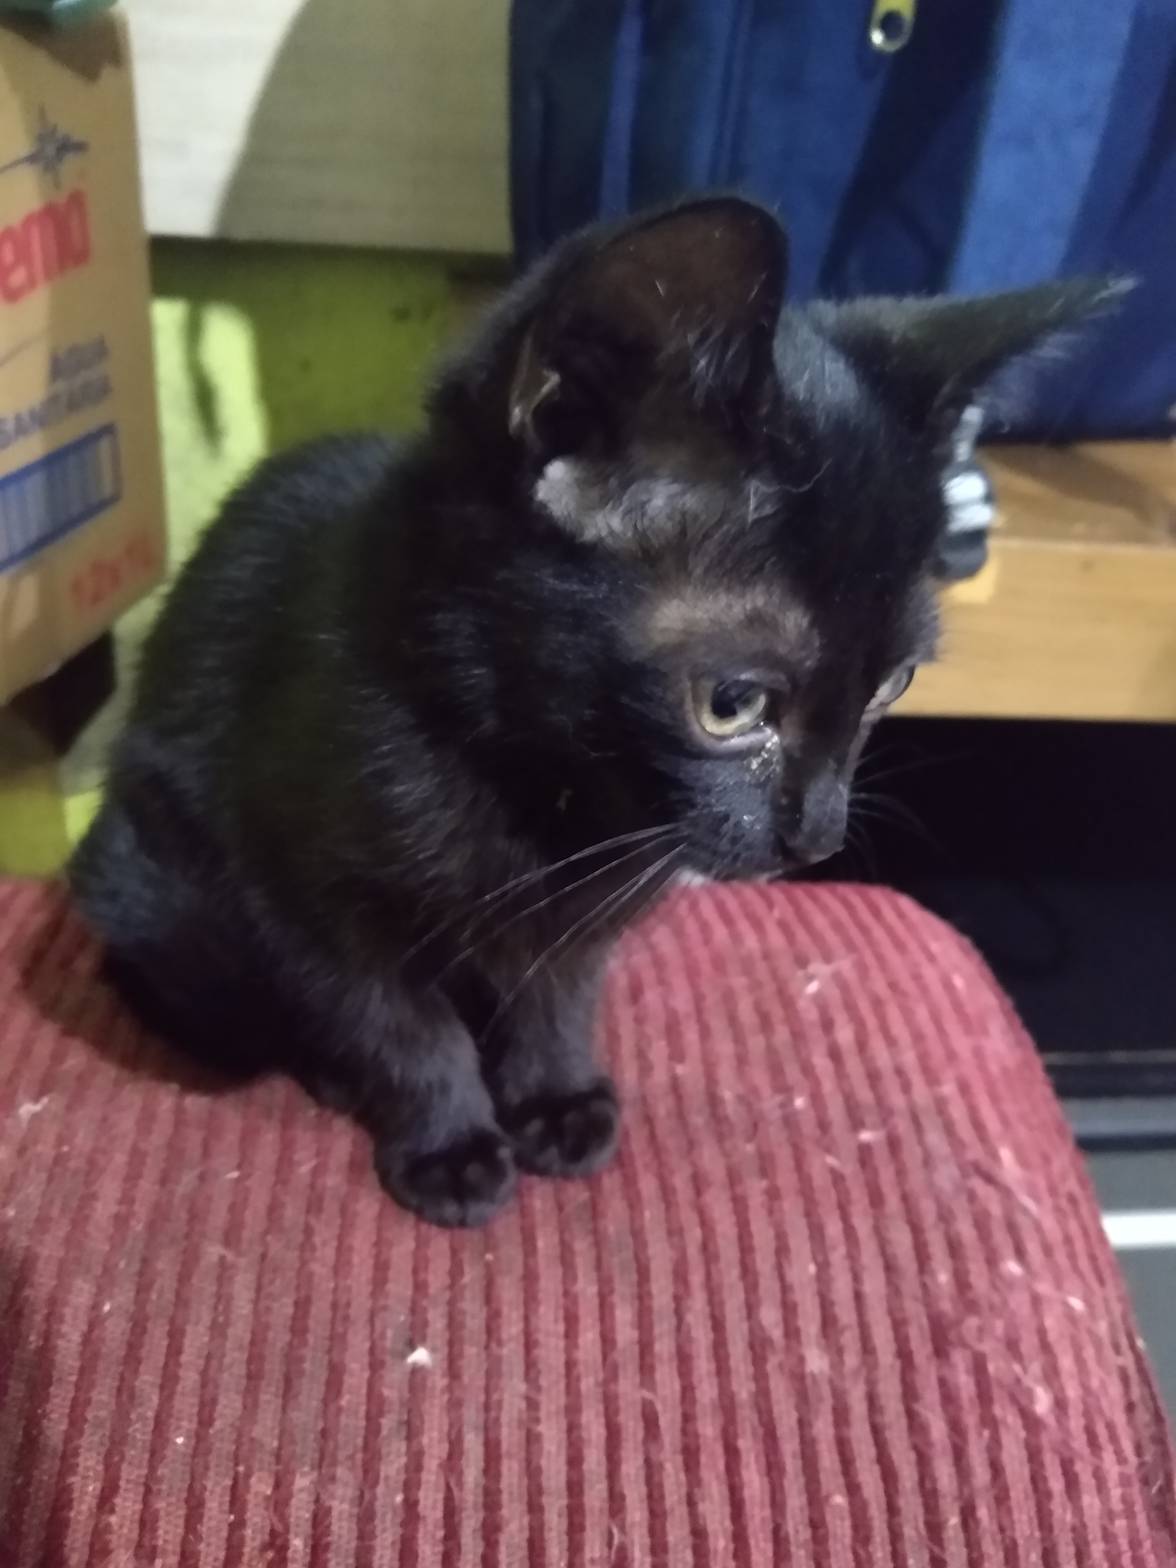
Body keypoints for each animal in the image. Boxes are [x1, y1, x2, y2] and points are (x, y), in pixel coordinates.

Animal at [69, 198, 1113, 1227]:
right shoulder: (301, 891)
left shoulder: (590, 911)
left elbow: (558, 991)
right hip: (157, 888)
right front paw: (449, 1142)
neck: (541, 786)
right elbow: (396, 1021)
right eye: (733, 705)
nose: (818, 838)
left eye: (890, 686)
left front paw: (555, 1098)